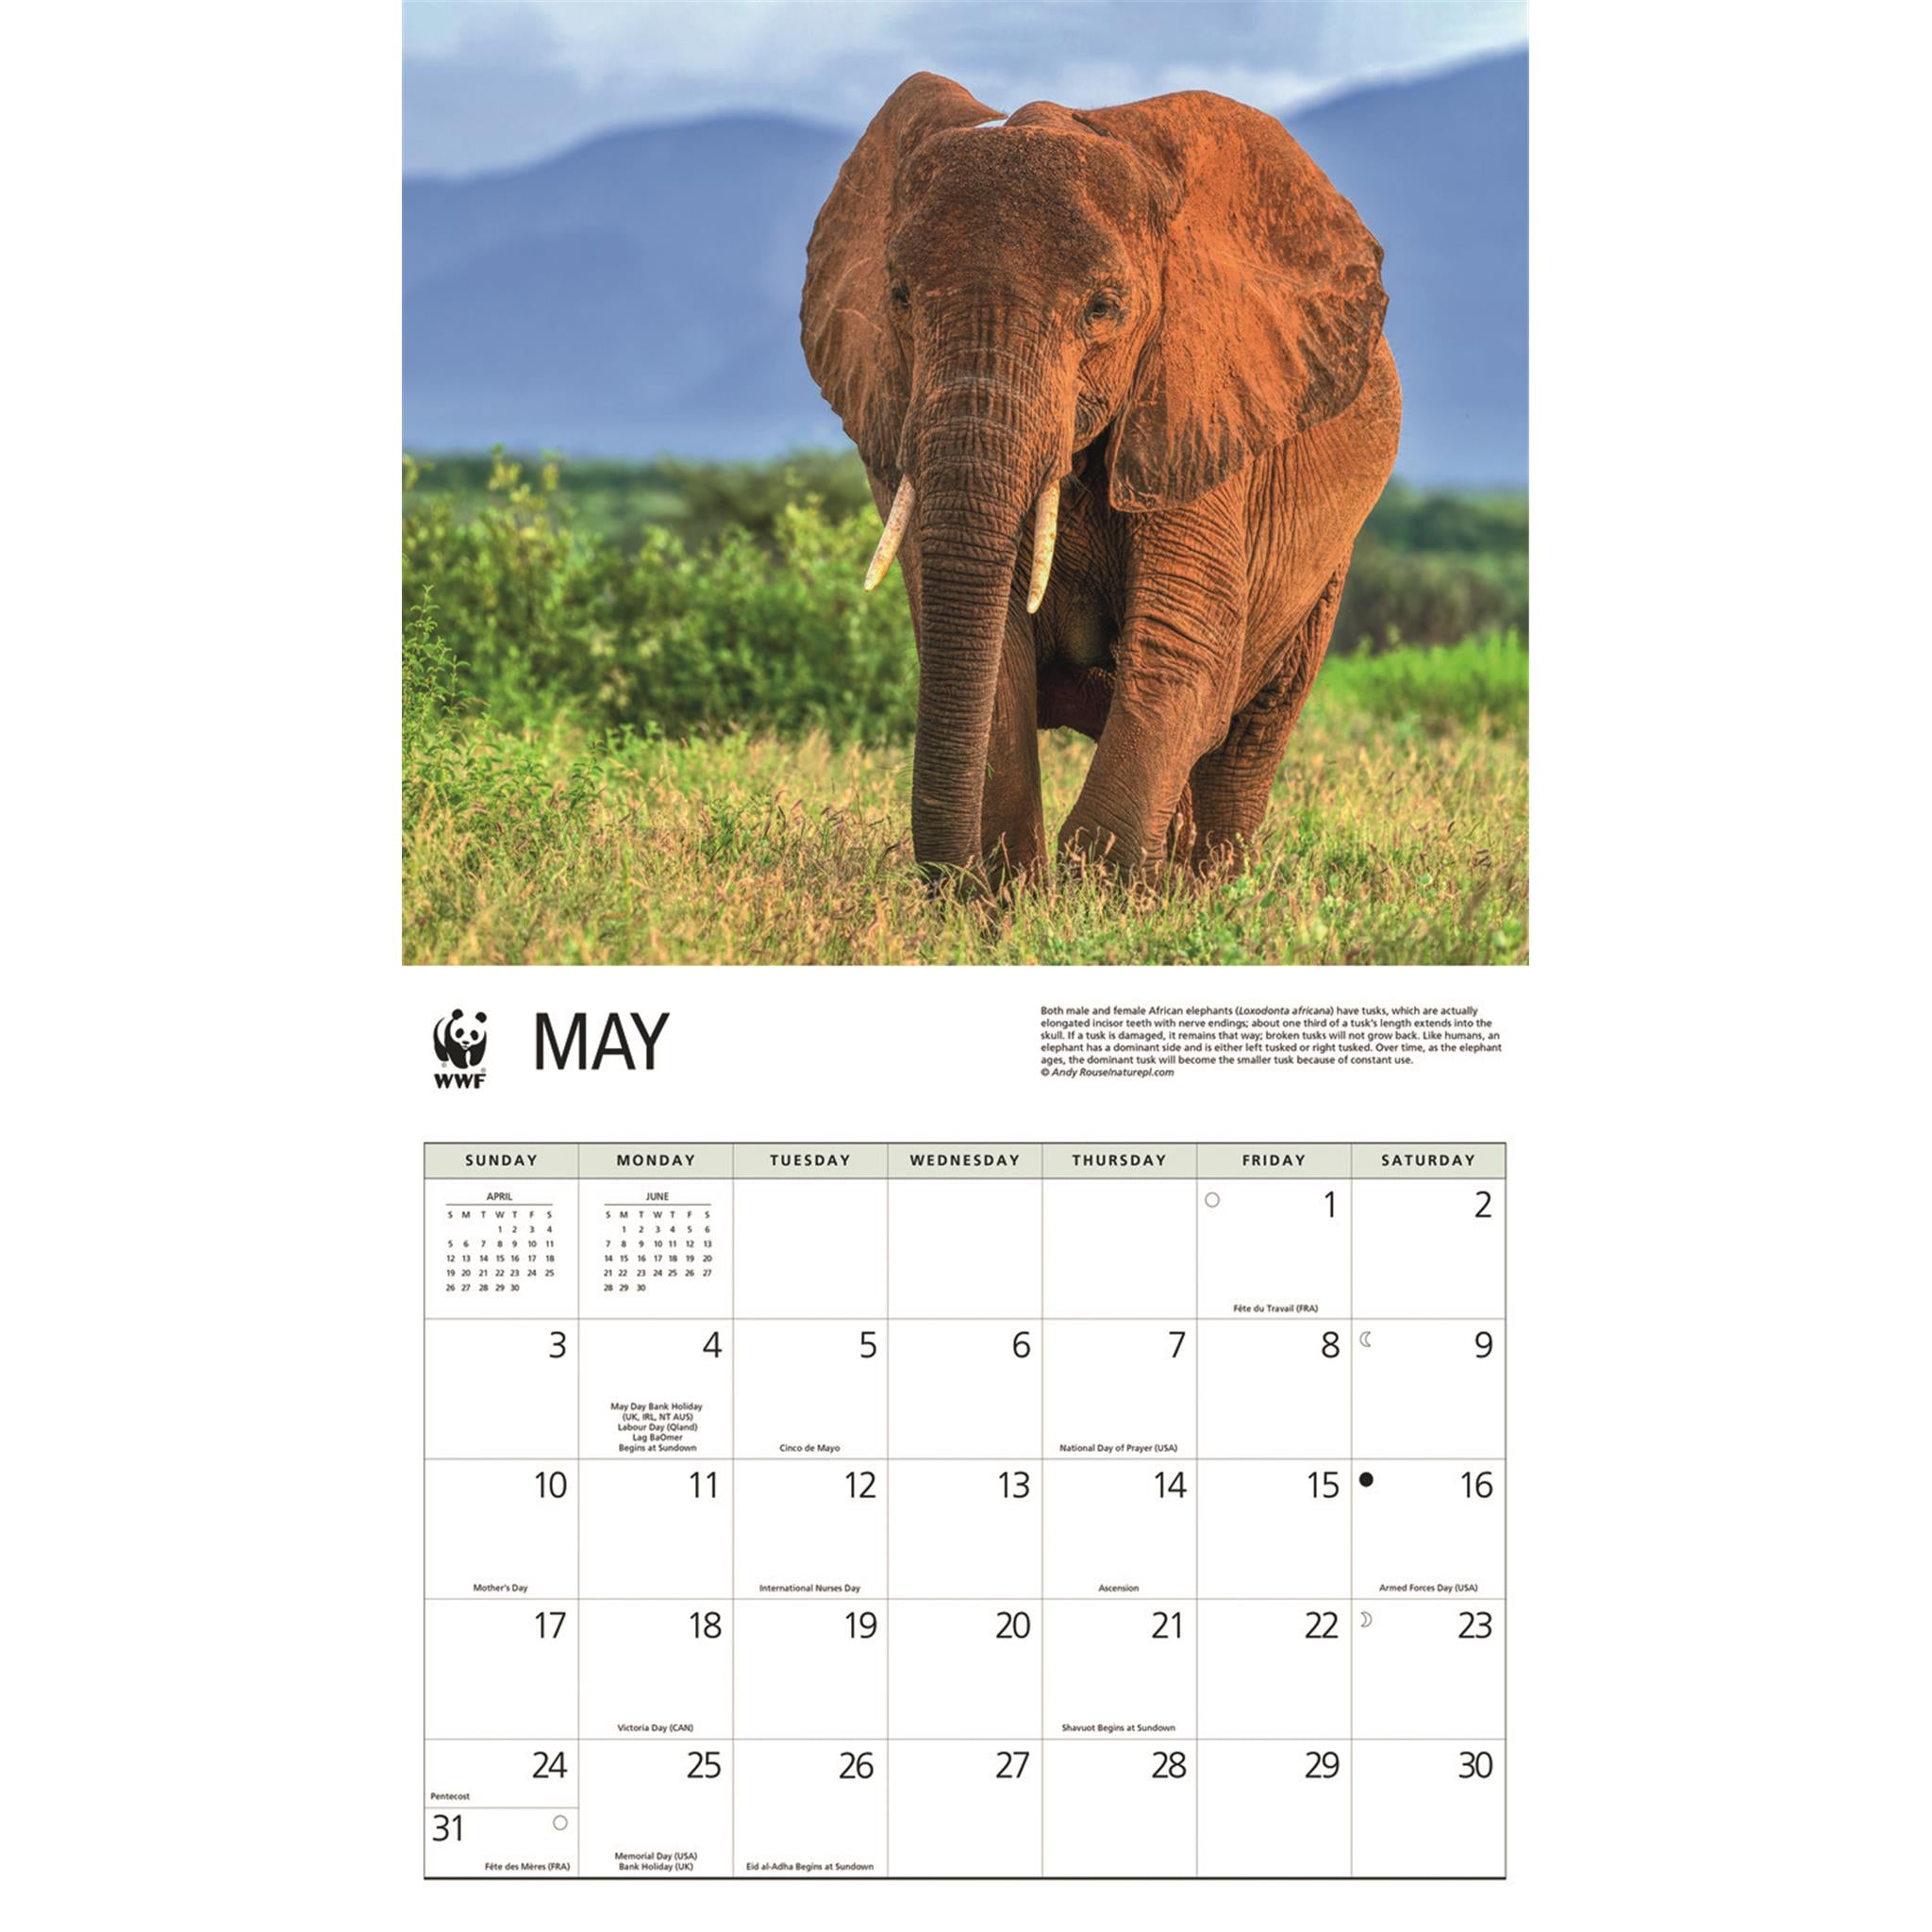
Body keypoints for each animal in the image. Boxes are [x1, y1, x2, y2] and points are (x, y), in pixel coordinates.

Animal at [800, 72, 1401, 886]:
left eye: (1103, 308)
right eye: (897, 295)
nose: (952, 881)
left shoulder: (1199, 411)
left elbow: (1182, 648)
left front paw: (1098, 892)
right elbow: (992, 657)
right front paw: (1012, 894)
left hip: (1326, 562)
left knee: (1251, 733)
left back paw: (1211, 891)